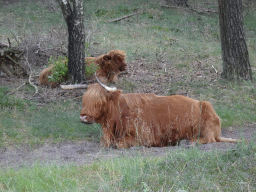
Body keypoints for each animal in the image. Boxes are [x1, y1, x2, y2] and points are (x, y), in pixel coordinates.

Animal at [80, 76, 238, 148]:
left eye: (100, 100)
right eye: (84, 99)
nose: (83, 117)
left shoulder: (145, 137)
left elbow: (119, 144)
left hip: (207, 115)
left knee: (209, 138)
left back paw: (188, 141)